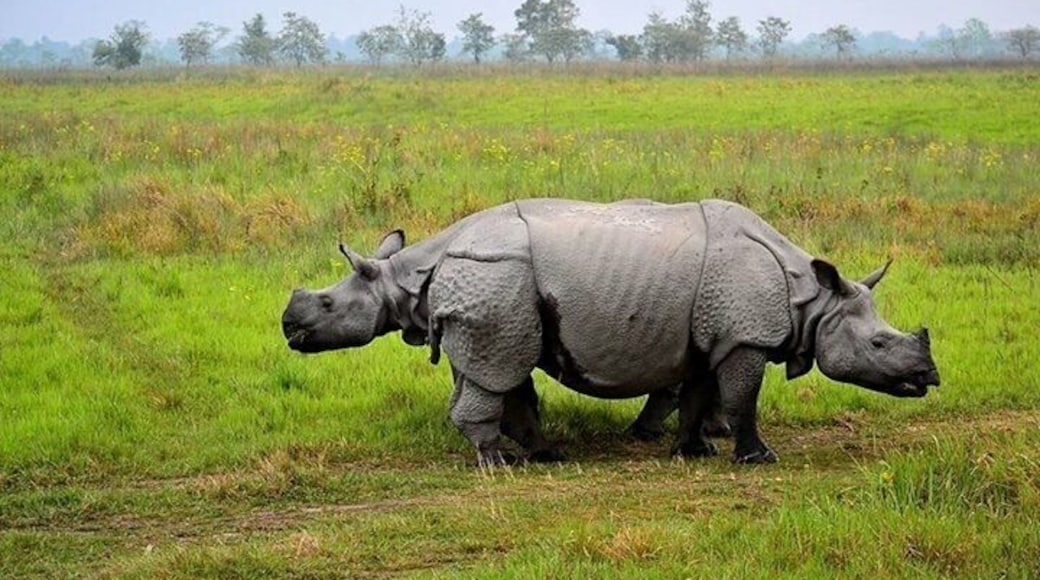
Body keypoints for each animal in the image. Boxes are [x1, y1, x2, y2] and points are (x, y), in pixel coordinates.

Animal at [282, 198, 940, 465]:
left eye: (327, 303)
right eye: (879, 345)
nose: (929, 376)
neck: (812, 301)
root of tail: (452, 251)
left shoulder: (711, 335)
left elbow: (699, 392)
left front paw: (693, 451)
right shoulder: (744, 337)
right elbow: (743, 397)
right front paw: (758, 458)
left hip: (502, 284)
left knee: (505, 369)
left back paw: (542, 457)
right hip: (498, 279)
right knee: (500, 369)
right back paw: (502, 465)